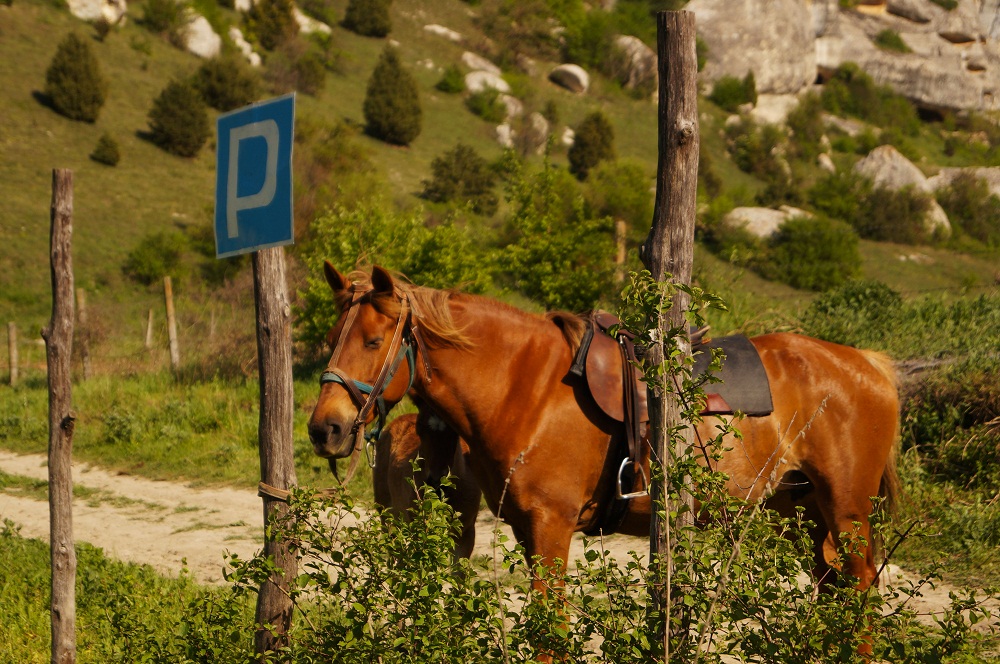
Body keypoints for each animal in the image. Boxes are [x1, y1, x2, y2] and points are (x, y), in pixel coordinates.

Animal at [376, 410, 484, 560]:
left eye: (453, 433)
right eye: (420, 430)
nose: (435, 481)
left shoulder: (465, 532)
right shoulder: (421, 528)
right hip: (387, 514)